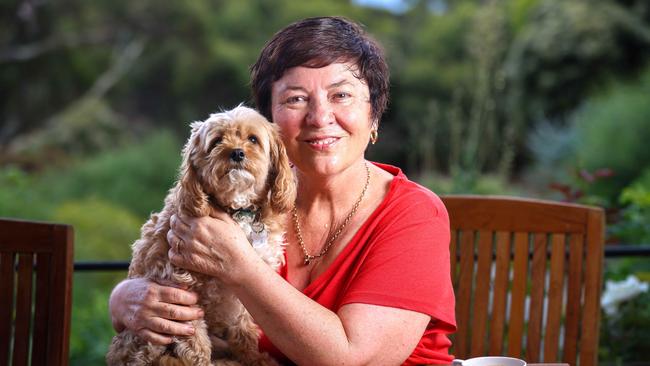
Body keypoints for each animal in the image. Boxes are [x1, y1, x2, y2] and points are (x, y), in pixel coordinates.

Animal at [105, 106, 294, 366]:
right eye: (216, 142)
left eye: (253, 139)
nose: (236, 153)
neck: (238, 209)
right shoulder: (180, 285)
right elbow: (193, 336)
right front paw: (202, 360)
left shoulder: (249, 284)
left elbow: (244, 327)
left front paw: (253, 357)